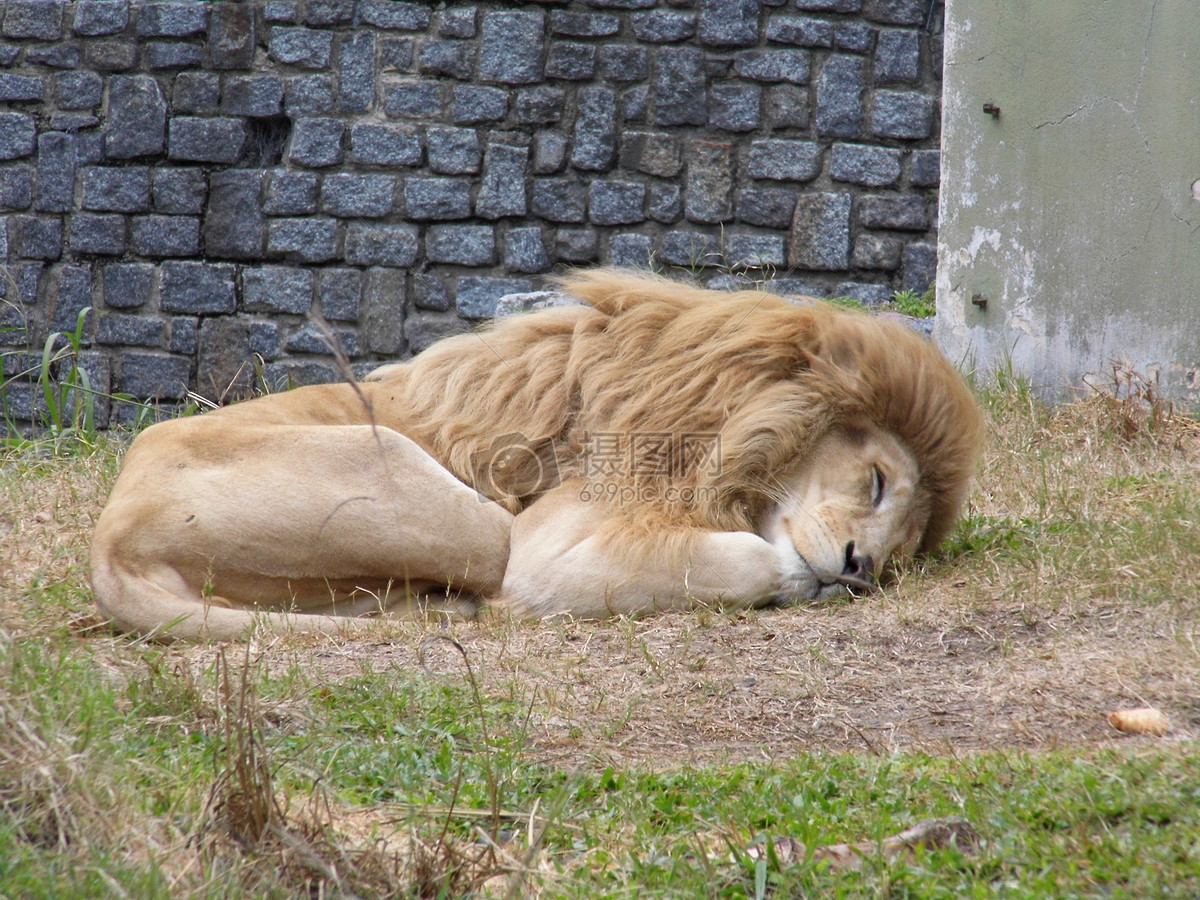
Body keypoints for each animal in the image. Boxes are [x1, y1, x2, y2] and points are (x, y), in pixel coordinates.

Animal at [87, 267, 984, 643]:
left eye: (904, 557)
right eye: (877, 481)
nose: (864, 571)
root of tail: (108, 546)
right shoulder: (549, 548)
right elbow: (753, 560)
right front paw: (796, 577)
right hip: (448, 505)